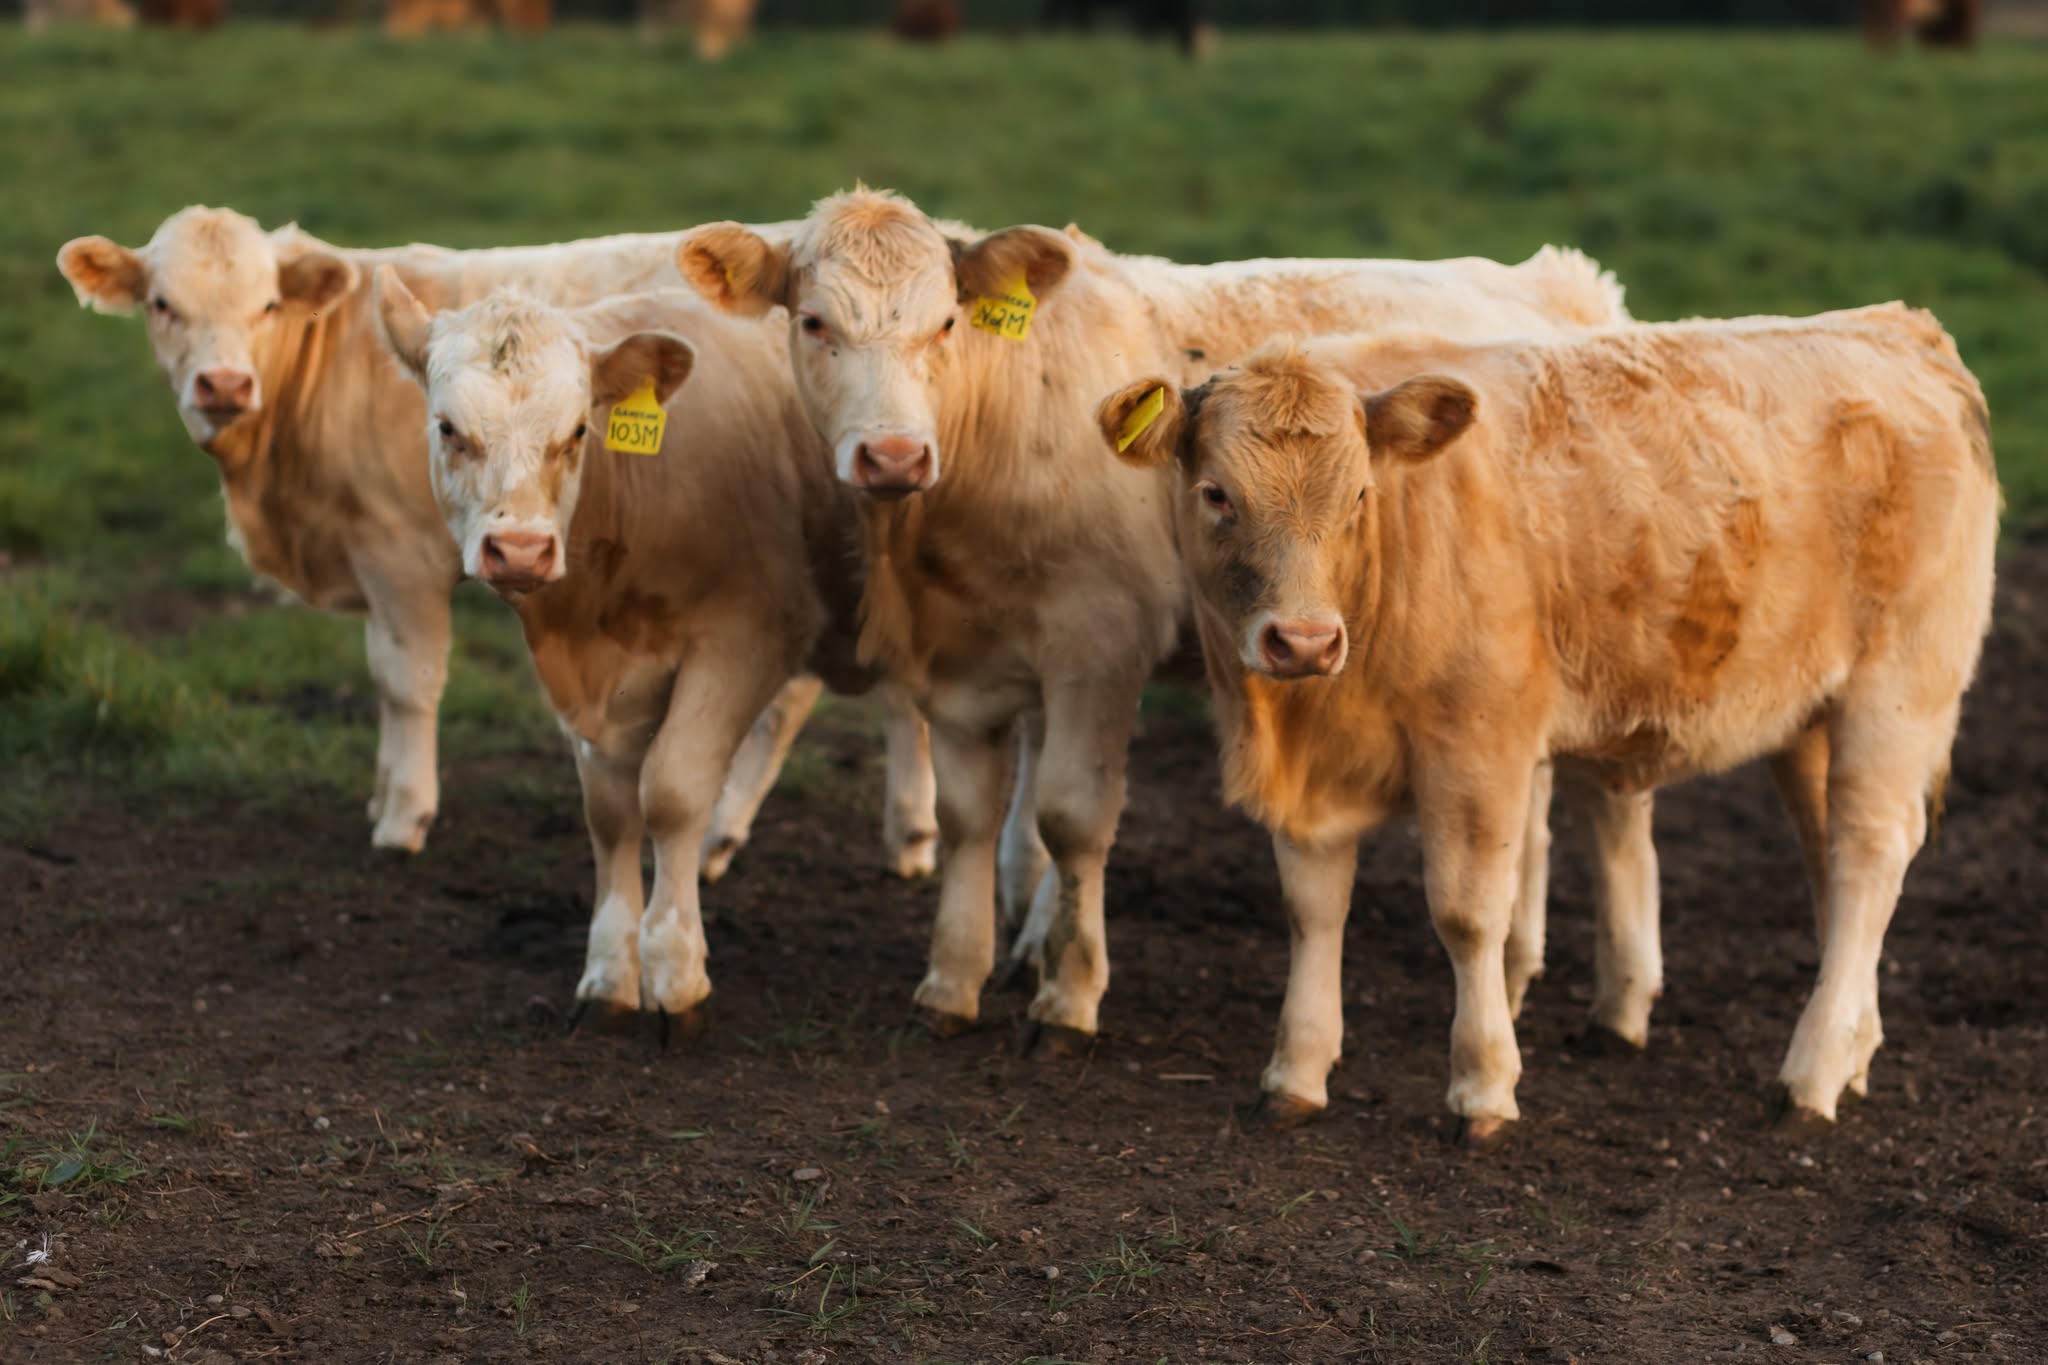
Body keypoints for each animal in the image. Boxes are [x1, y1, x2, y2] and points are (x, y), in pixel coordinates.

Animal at [55, 207, 935, 881]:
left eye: (268, 304)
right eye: (162, 304)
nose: (224, 385)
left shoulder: (399, 557)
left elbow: (408, 682)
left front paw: (403, 817)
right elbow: (381, 674)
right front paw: (382, 793)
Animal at [371, 277, 928, 1030]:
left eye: (578, 431)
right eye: (448, 428)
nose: (519, 549)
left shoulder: (746, 637)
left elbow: (670, 791)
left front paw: (675, 967)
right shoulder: (598, 688)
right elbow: (610, 813)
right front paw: (610, 968)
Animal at [674, 188, 1644, 1052]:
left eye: (947, 322)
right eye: (813, 323)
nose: (893, 454)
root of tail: (1558, 280)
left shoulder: (1098, 643)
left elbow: (1070, 816)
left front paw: (1069, 996)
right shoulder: (961, 662)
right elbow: (968, 817)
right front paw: (953, 981)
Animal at [1093, 305, 1998, 1145]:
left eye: (1358, 495)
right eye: (1217, 494)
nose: (1305, 639)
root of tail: (1897, 327)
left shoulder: (1479, 742)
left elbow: (1468, 914)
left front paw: (1484, 1087)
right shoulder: (1313, 776)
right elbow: (1312, 908)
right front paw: (1296, 1073)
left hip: (1898, 690)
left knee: (1867, 855)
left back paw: (1809, 1077)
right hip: (1813, 713)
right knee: (1834, 866)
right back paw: (1852, 1053)